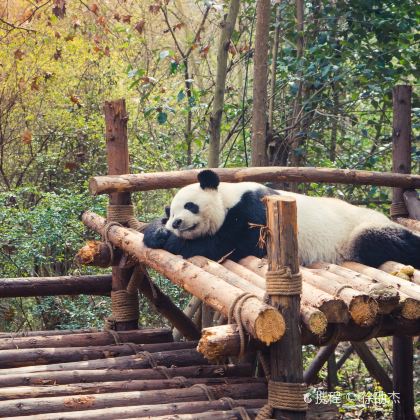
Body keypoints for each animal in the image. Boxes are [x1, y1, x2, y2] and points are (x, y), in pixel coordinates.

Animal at [144, 169, 420, 268]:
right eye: (172, 212)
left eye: (190, 206)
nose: (176, 223)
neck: (227, 198)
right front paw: (157, 233)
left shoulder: (253, 209)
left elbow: (230, 245)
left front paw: (173, 242)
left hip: (362, 229)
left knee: (379, 242)